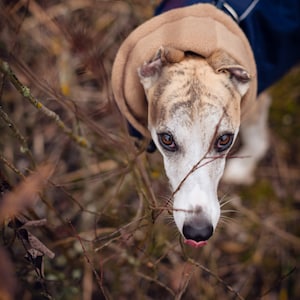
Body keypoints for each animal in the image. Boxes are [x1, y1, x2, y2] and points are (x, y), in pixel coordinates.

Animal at [112, 1, 300, 247]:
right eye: (167, 139)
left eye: (224, 139)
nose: (198, 232)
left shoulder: (255, 106)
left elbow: (257, 140)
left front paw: (243, 169)